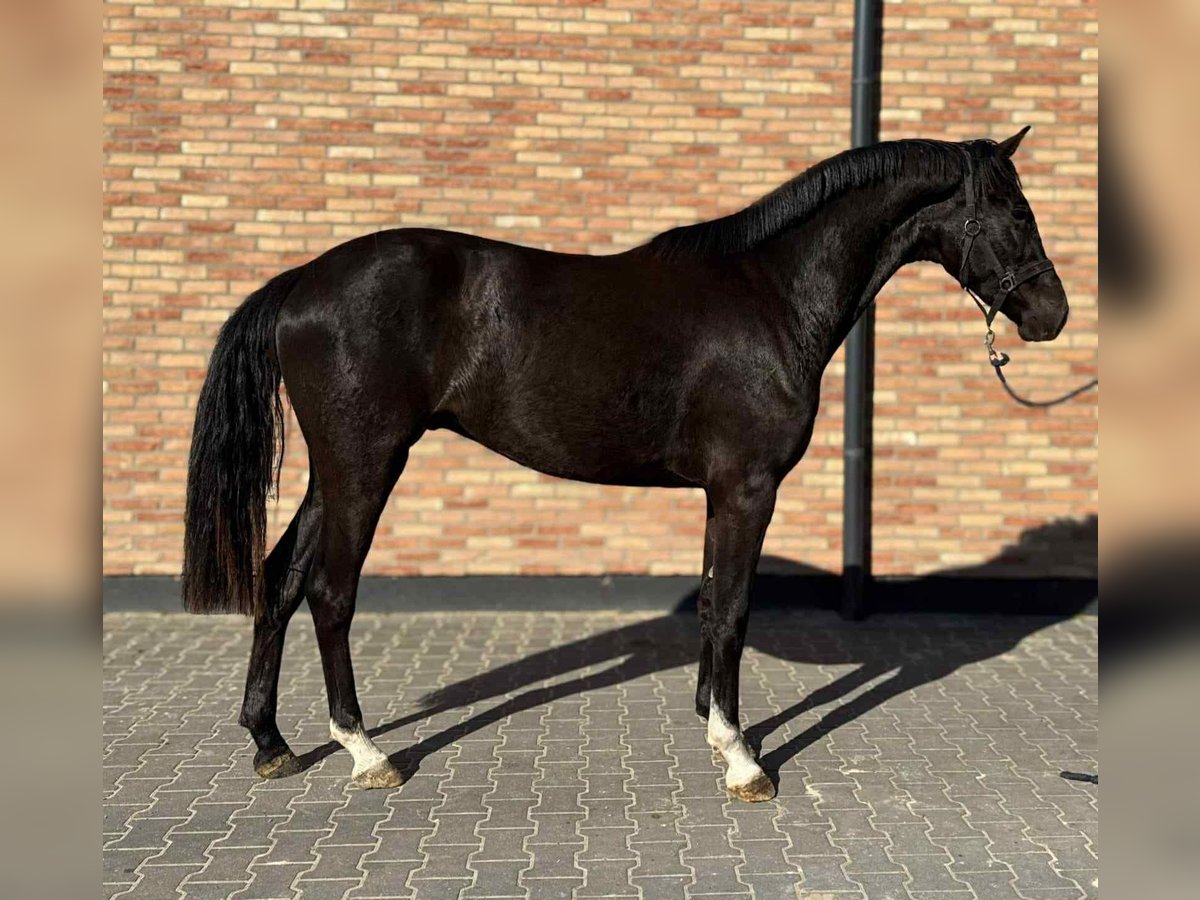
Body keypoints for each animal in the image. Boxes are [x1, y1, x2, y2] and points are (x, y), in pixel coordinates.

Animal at [182, 129, 1069, 801]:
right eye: (1016, 213)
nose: (1052, 315)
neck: (771, 295)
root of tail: (303, 281)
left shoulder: (721, 492)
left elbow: (713, 605)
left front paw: (716, 729)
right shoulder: (747, 488)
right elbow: (734, 610)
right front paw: (743, 759)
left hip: (333, 473)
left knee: (279, 579)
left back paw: (270, 742)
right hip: (367, 465)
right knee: (330, 593)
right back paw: (367, 753)